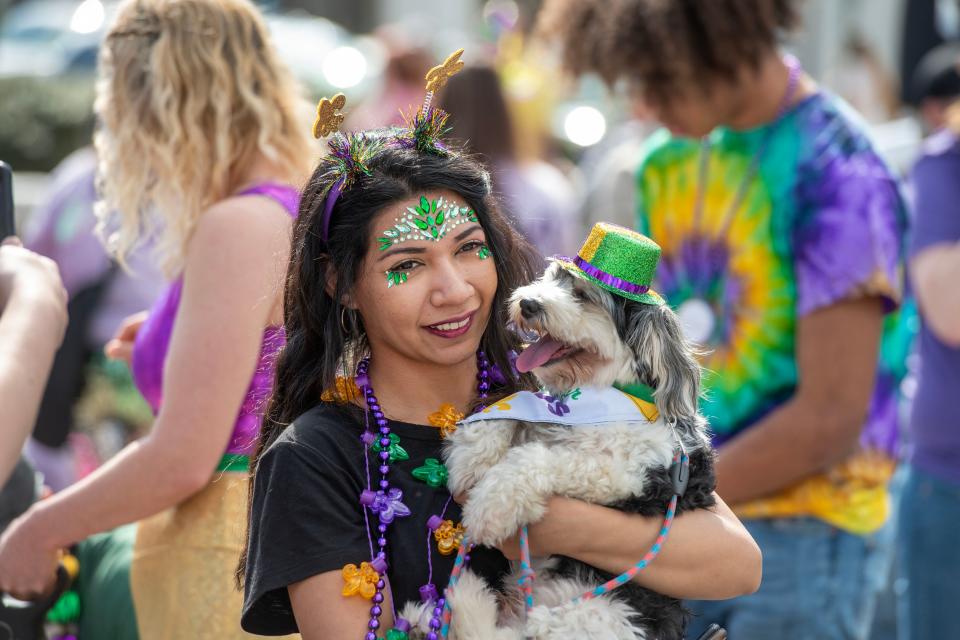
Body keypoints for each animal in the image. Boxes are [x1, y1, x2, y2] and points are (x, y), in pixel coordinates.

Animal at [402, 262, 716, 640]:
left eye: (583, 295)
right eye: (553, 277)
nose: (528, 304)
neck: (594, 397)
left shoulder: (626, 473)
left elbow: (540, 458)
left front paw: (490, 506)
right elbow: (512, 410)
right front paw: (471, 454)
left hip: (596, 612)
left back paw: (462, 600)